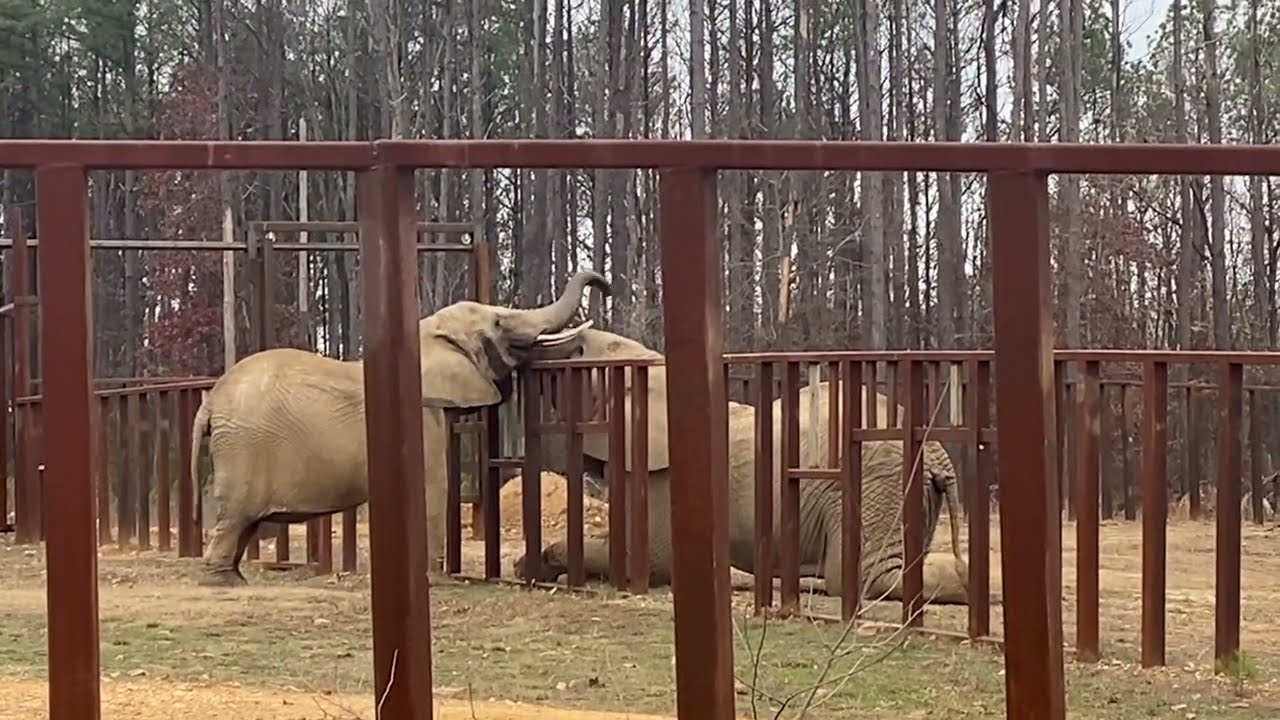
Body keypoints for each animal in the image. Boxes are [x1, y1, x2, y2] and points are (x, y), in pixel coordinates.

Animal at [190, 271, 612, 586]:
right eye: (499, 322)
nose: (605, 285)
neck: (426, 333)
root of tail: (209, 403)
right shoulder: (422, 413)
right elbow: (434, 485)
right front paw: (435, 581)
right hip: (244, 448)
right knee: (235, 517)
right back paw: (223, 581)